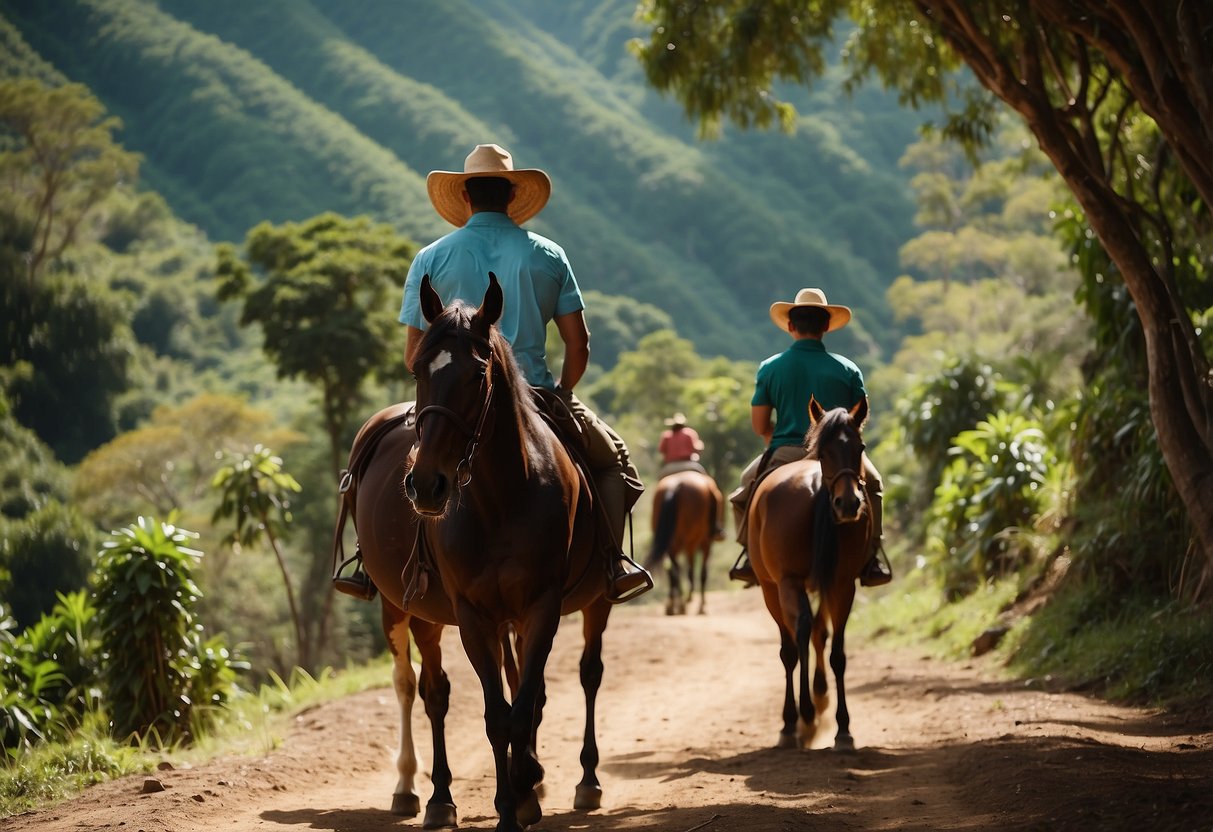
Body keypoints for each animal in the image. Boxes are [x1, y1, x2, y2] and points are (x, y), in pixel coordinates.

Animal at [354, 274, 616, 832]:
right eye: (418, 371)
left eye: (477, 376)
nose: (426, 484)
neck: (501, 495)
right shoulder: (473, 614)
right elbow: (498, 713)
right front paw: (510, 805)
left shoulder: (540, 606)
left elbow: (525, 703)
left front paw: (525, 788)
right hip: (410, 608)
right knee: (423, 689)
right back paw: (426, 794)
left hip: (593, 600)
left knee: (587, 674)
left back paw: (582, 780)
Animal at [650, 473, 722, 616]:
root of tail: (677, 485)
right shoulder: (705, 543)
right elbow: (701, 573)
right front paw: (701, 606)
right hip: (688, 542)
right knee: (683, 571)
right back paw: (684, 602)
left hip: (674, 543)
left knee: (675, 570)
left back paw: (678, 603)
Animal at [747, 397, 873, 756]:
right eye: (826, 451)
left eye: (859, 447)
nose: (848, 504)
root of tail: (817, 486)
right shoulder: (834, 581)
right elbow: (822, 636)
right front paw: (820, 701)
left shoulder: (783, 586)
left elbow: (808, 638)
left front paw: (811, 707)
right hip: (830, 583)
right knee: (828, 645)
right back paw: (832, 723)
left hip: (786, 585)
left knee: (800, 638)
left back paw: (801, 718)